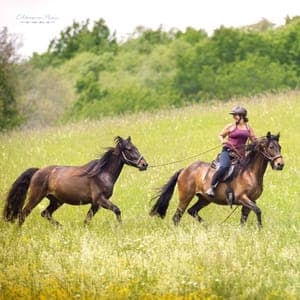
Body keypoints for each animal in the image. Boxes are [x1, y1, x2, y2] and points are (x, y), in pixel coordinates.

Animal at [2, 136, 148, 225]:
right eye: (129, 149)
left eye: (136, 148)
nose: (144, 164)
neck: (101, 174)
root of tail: (38, 171)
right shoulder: (100, 200)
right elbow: (117, 210)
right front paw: (120, 227)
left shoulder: (96, 203)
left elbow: (87, 219)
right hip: (36, 197)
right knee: (23, 214)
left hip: (57, 201)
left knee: (45, 213)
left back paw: (61, 228)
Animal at [151, 131, 284, 227]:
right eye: (271, 147)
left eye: (280, 147)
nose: (280, 165)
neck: (249, 173)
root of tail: (184, 170)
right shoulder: (242, 198)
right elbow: (258, 211)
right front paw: (260, 229)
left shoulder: (251, 201)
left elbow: (244, 218)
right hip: (185, 197)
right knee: (177, 216)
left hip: (204, 199)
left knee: (192, 211)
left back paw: (206, 226)